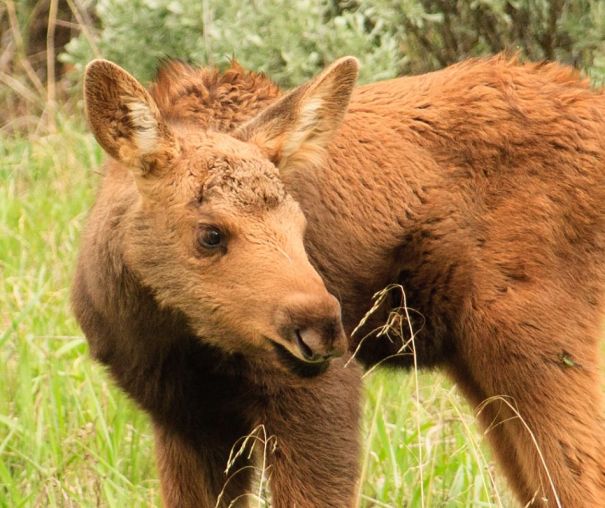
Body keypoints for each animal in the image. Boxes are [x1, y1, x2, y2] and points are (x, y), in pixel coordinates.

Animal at [74, 53, 604, 506]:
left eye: (301, 226)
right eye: (210, 234)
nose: (322, 328)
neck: (166, 341)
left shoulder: (321, 397)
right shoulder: (184, 419)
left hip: (537, 344)